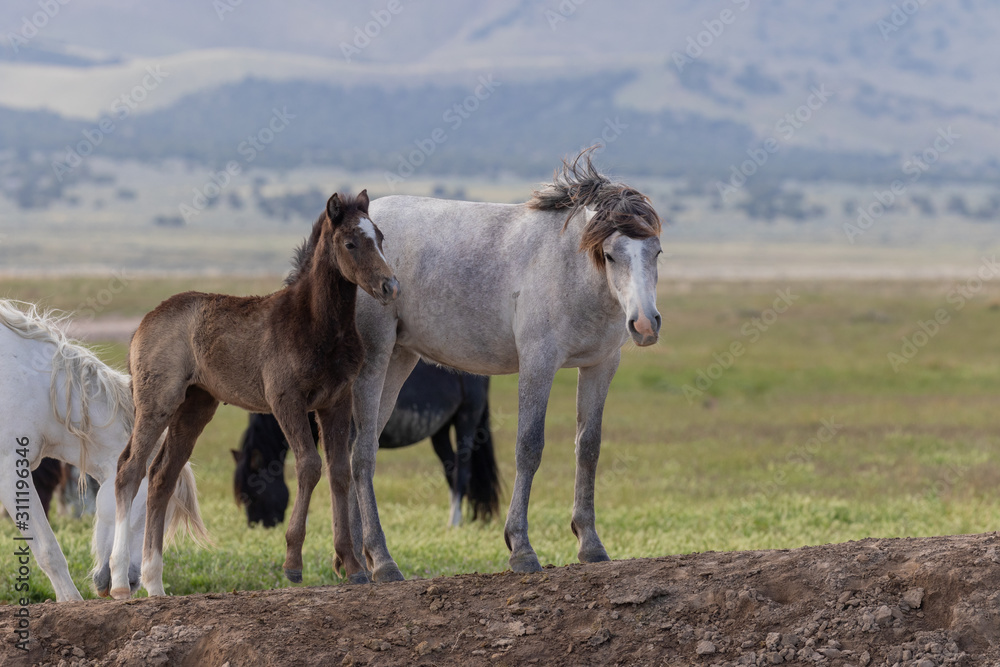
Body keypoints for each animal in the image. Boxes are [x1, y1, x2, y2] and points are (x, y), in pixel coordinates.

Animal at [0, 300, 206, 604]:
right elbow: (48, 549)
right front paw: (71, 601)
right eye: (144, 508)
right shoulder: (11, 469)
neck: (35, 388)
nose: (130, 582)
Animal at [233, 362, 500, 528]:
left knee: (462, 472)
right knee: (450, 471)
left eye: (252, 494)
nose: (259, 526)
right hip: (440, 431)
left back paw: (453, 524)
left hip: (466, 419)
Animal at [292, 149, 664, 580]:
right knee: (362, 451)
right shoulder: (538, 362)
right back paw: (382, 561)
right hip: (374, 360)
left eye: (656, 253)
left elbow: (588, 448)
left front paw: (590, 544)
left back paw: (357, 563)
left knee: (354, 448)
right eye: (610, 254)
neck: (571, 268)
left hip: (399, 361)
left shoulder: (600, 366)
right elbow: (529, 447)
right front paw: (521, 548)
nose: (644, 323)